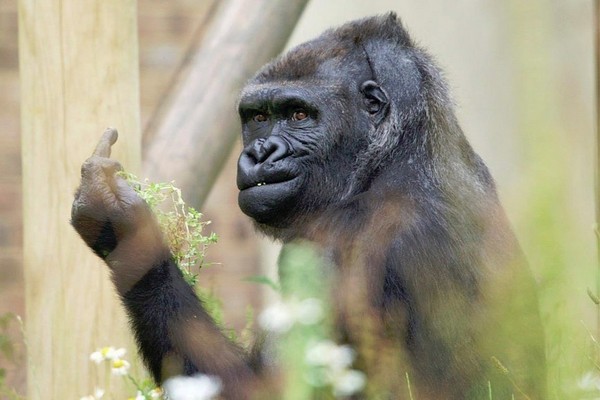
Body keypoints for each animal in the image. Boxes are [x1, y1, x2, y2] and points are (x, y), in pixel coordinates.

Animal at [72, 12, 548, 400]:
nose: (260, 153)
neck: (396, 154)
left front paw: (122, 227)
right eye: (259, 117)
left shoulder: (335, 248)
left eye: (299, 115)